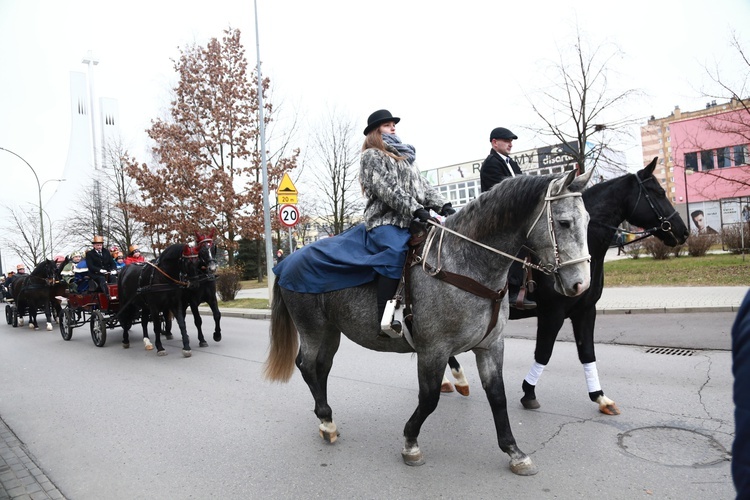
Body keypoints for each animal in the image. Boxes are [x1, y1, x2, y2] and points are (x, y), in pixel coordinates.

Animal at [262, 170, 592, 474]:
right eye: (564, 222)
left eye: (588, 220)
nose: (580, 285)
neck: (466, 263)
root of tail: (285, 262)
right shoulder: (433, 349)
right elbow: (430, 398)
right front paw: (411, 443)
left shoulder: (490, 346)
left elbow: (497, 396)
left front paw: (514, 451)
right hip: (313, 329)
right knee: (306, 365)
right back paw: (327, 420)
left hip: (331, 332)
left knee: (321, 368)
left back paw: (326, 418)